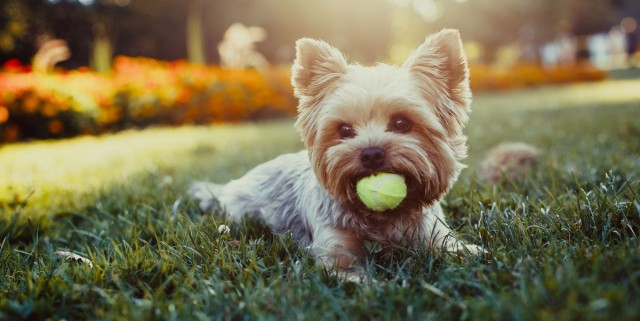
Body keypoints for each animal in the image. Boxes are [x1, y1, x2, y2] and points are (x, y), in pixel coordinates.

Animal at [189, 28, 480, 278]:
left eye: (401, 123)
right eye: (344, 129)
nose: (371, 153)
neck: (383, 218)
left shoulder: (433, 234)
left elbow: (458, 250)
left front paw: (472, 252)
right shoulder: (335, 249)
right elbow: (351, 276)